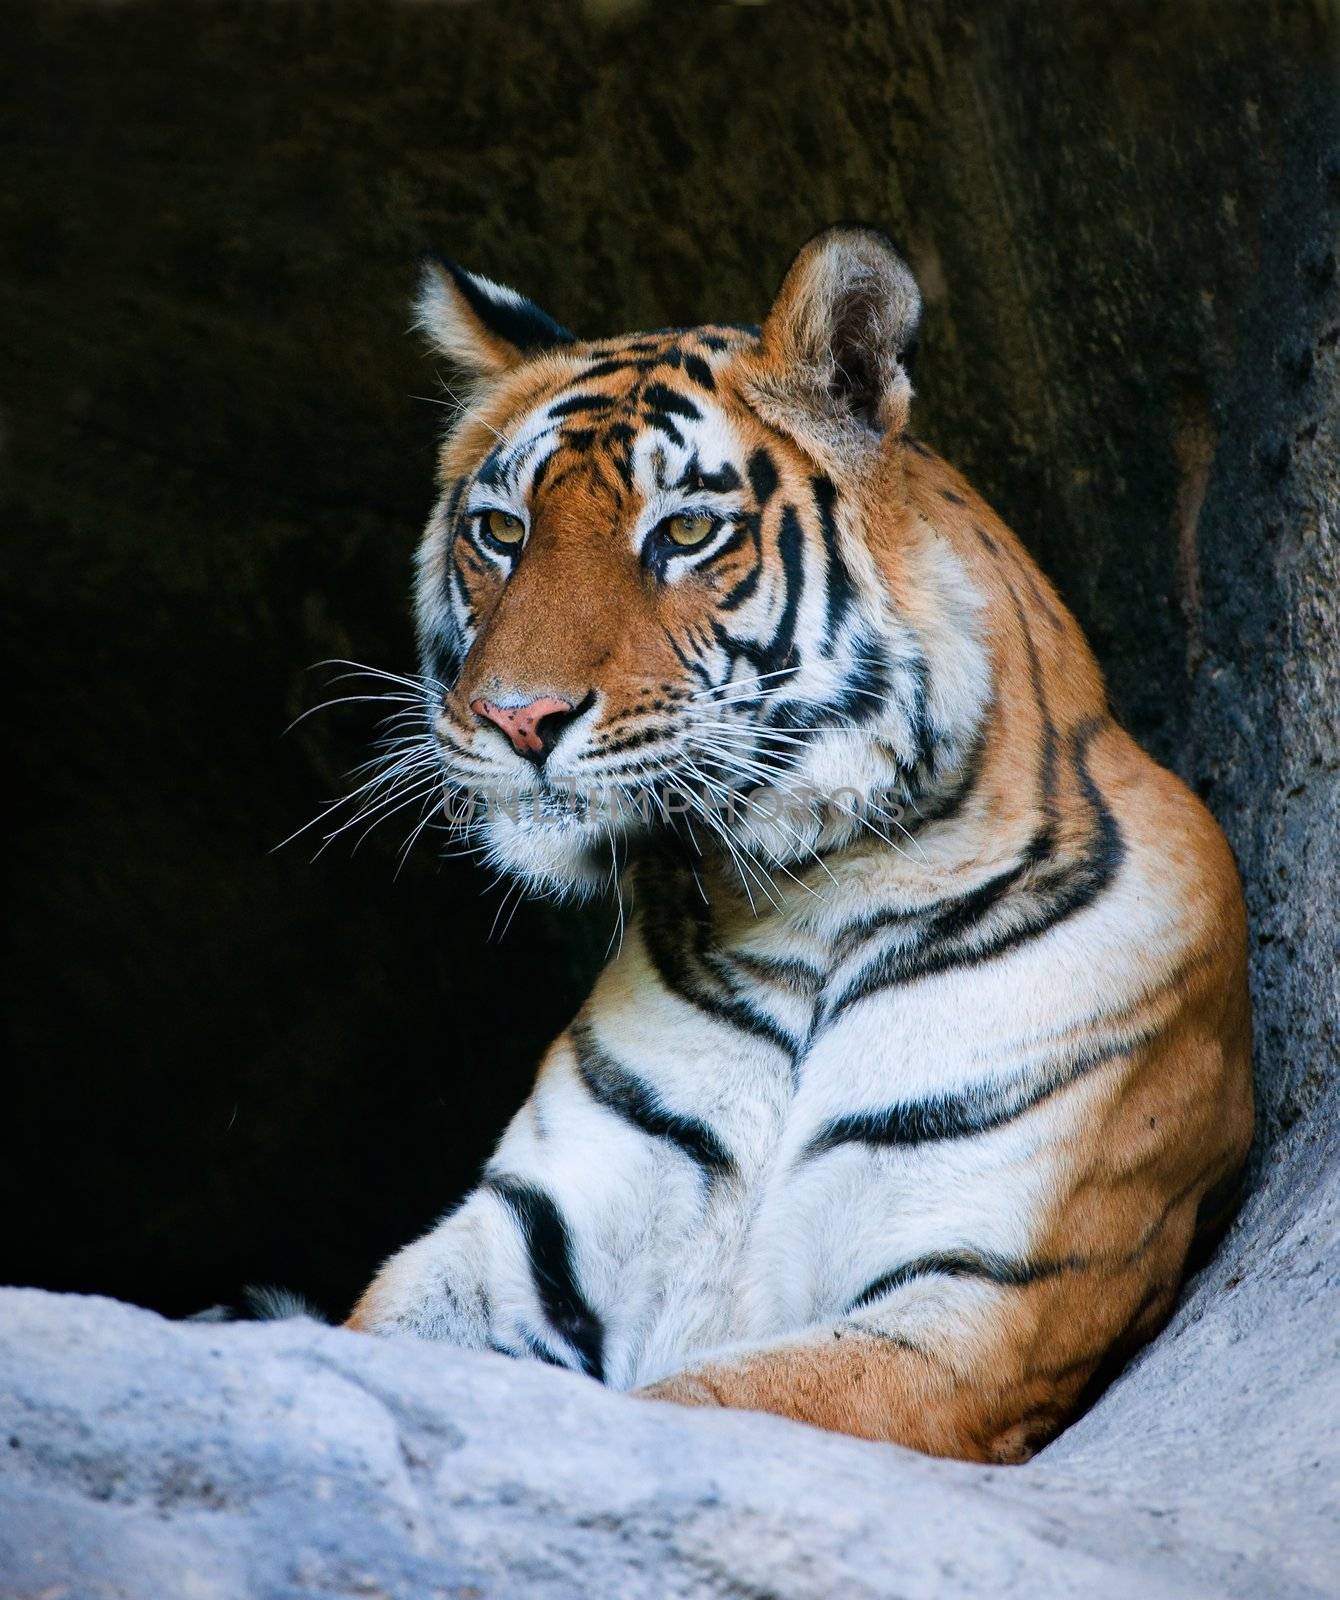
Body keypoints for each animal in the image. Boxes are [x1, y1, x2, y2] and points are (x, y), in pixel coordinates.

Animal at [348, 225, 1260, 1465]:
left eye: (685, 531)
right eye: (500, 532)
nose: (515, 717)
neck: (807, 901)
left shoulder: (974, 1306)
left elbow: (693, 1410)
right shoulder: (511, 1245)